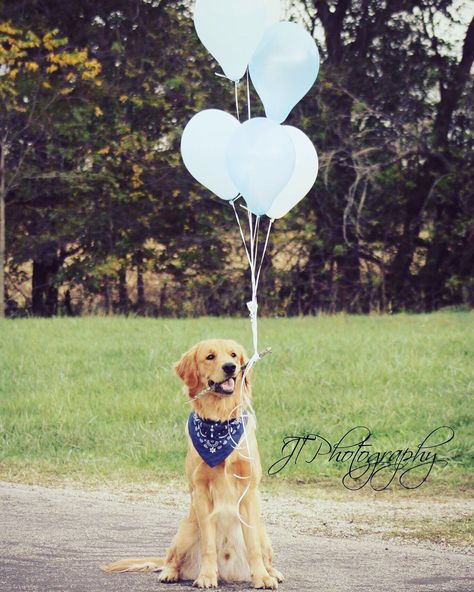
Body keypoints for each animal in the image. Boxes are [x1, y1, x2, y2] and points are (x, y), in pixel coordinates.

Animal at [102, 338, 284, 588]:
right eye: (210, 357)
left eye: (233, 355)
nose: (230, 367)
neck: (219, 422)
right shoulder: (200, 492)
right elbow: (208, 545)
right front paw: (206, 576)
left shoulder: (248, 491)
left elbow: (253, 546)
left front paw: (262, 577)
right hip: (186, 531)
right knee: (171, 559)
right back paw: (169, 573)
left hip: (264, 534)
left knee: (263, 551)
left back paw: (272, 572)